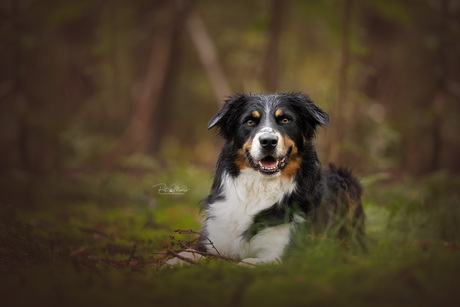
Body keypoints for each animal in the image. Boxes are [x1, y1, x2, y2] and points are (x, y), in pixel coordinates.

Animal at [167, 92, 364, 268]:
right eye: (249, 121)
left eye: (285, 120)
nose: (268, 141)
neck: (260, 187)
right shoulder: (211, 241)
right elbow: (189, 252)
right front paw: (171, 262)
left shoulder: (283, 253)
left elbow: (246, 263)